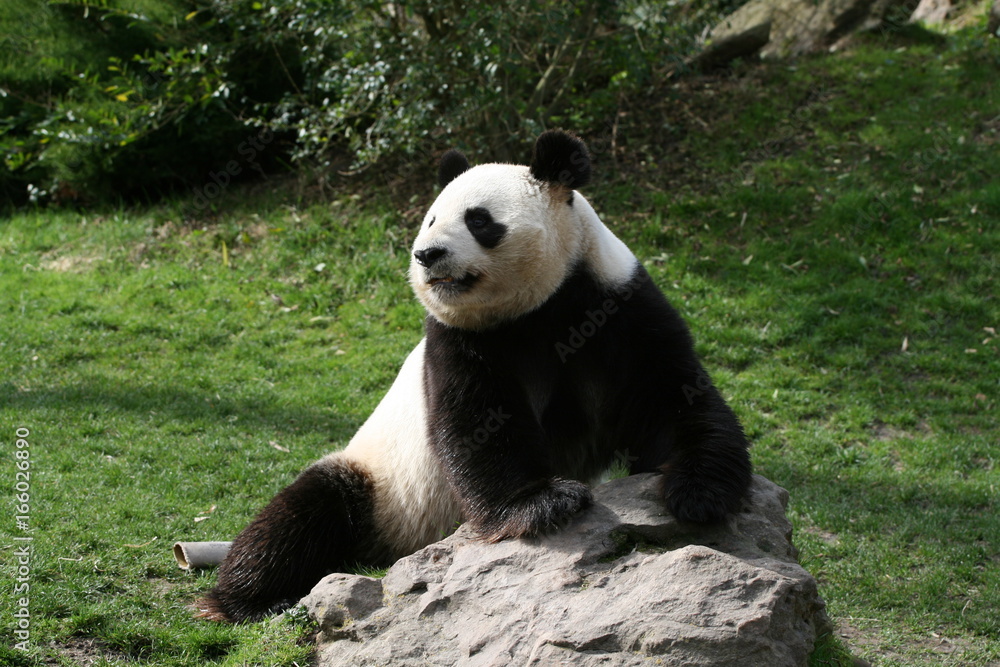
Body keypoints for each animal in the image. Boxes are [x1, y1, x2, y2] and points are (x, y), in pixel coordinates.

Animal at [199, 130, 752, 623]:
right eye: (430, 219)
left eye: (479, 220)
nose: (427, 255)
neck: (543, 307)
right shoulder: (461, 337)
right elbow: (478, 420)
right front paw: (543, 504)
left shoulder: (617, 305)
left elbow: (669, 395)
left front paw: (699, 493)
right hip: (381, 485)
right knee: (304, 514)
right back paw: (249, 600)